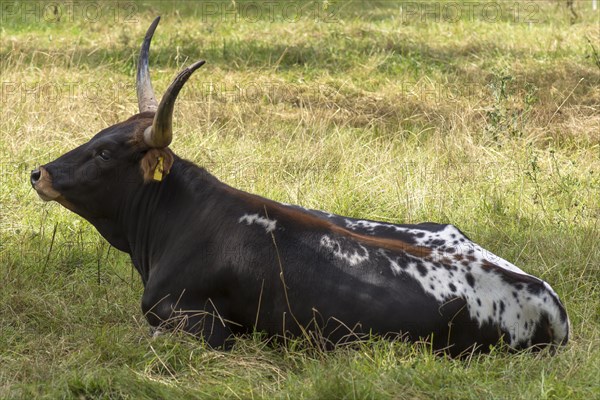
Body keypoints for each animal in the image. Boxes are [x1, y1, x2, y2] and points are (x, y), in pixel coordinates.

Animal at [30, 18, 568, 356]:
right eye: (98, 135)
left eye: (105, 153)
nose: (39, 173)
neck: (178, 220)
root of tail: (550, 300)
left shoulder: (200, 327)